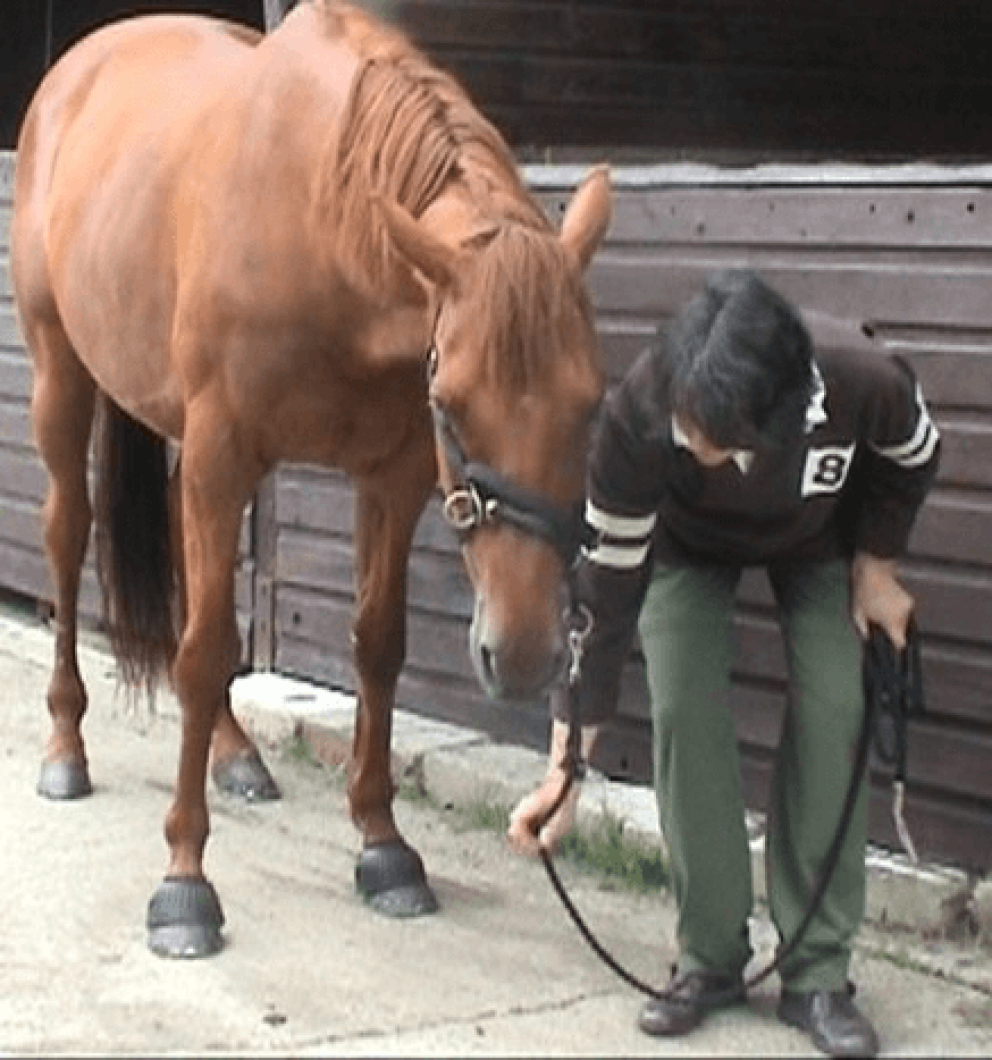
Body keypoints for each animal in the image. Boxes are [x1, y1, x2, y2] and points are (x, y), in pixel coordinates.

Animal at [11, 0, 610, 958]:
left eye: (590, 402)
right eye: (452, 398)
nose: (522, 656)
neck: (321, 222)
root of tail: (74, 70)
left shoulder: (390, 478)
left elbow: (375, 646)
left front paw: (385, 846)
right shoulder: (222, 455)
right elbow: (205, 651)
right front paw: (184, 883)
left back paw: (234, 755)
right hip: (62, 378)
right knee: (68, 542)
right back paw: (65, 748)